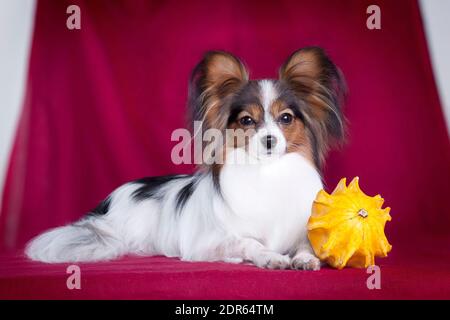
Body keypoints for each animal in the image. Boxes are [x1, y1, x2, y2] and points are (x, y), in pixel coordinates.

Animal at [26, 46, 346, 268]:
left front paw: (305, 258)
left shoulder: (299, 233)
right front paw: (270, 257)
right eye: (246, 121)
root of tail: (106, 204)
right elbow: (248, 242)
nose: (269, 140)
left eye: (286, 118)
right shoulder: (207, 243)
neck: (267, 173)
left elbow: (306, 246)